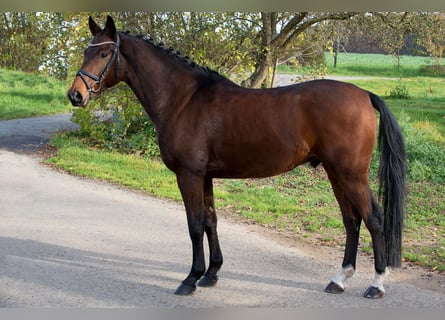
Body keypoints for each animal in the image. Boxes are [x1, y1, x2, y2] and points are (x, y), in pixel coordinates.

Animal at [67, 16, 404, 298]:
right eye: (85, 51)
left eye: (104, 53)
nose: (76, 95)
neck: (184, 99)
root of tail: (363, 94)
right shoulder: (204, 177)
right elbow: (211, 221)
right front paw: (211, 274)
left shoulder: (189, 175)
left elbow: (194, 225)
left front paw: (191, 279)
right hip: (336, 173)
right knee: (351, 220)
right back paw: (339, 279)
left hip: (351, 174)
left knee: (373, 219)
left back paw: (376, 284)